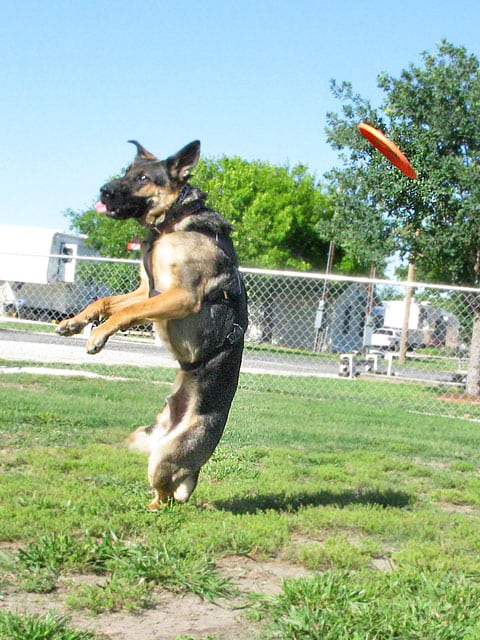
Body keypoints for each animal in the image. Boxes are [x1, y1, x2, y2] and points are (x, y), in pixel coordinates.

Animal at [57, 141, 248, 510]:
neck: (173, 222)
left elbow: (127, 313)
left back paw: (151, 508)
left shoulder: (180, 295)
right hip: (141, 441)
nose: (103, 190)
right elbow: (105, 303)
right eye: (127, 172)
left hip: (164, 458)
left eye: (143, 178)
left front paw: (98, 336)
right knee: (167, 491)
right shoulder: (148, 288)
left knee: (170, 497)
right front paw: (75, 323)